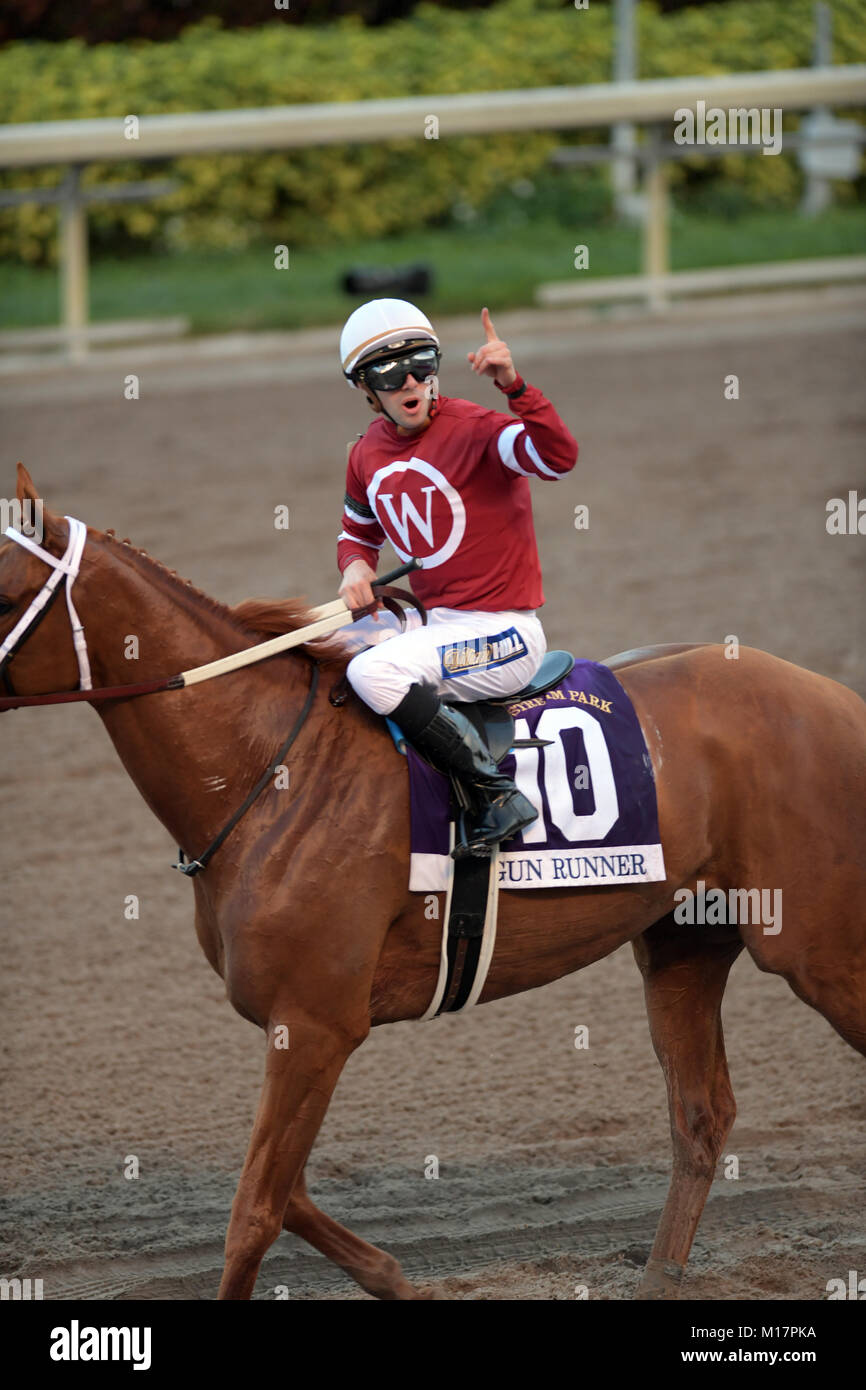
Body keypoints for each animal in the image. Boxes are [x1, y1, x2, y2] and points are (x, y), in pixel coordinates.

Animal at [5, 467, 866, 1301]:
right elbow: (289, 1195)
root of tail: (835, 696)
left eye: (7, 592)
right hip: (684, 947)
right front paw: (395, 1280)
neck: (272, 772)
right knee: (701, 1114)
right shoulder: (298, 1029)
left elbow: (254, 1212)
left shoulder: (315, 1026)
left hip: (814, 948)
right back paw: (658, 1280)